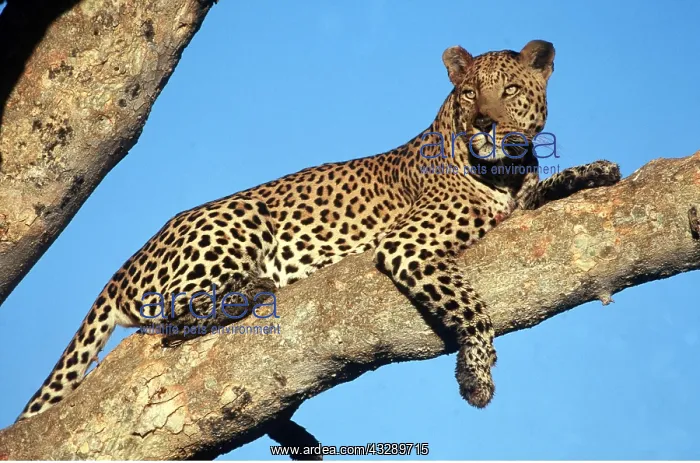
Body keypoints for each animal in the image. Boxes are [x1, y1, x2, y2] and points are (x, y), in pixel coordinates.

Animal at [17, 40, 620, 426]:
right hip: (238, 217)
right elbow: (471, 306)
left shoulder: (518, 204)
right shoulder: (408, 244)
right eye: (470, 93)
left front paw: (595, 171)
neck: (507, 169)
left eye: (511, 89)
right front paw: (476, 376)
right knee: (172, 318)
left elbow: (548, 189)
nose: (486, 124)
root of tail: (122, 267)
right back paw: (252, 288)